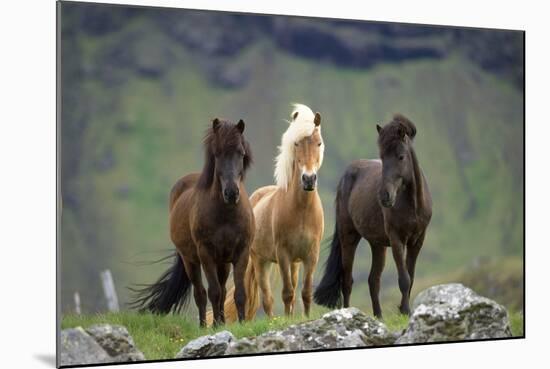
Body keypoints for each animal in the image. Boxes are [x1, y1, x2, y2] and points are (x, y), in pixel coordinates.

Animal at [130, 118, 256, 324]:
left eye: (241, 153)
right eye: (217, 153)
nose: (231, 193)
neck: (227, 215)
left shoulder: (241, 253)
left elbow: (238, 293)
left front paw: (240, 323)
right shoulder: (206, 255)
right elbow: (212, 292)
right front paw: (214, 326)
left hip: (223, 263)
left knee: (222, 290)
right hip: (191, 261)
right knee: (201, 294)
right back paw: (205, 325)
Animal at [215, 103, 328, 322]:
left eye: (318, 143)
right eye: (296, 144)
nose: (308, 179)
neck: (302, 211)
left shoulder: (311, 255)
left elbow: (305, 293)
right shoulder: (282, 255)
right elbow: (287, 293)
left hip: (294, 263)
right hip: (261, 262)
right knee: (267, 299)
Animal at [314, 113, 432, 318]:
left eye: (401, 156)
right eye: (382, 157)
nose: (384, 196)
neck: (413, 205)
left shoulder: (417, 241)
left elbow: (411, 277)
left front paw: (405, 310)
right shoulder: (397, 240)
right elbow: (404, 279)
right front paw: (405, 311)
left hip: (377, 245)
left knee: (373, 280)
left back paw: (378, 316)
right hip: (349, 237)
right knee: (347, 280)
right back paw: (348, 312)